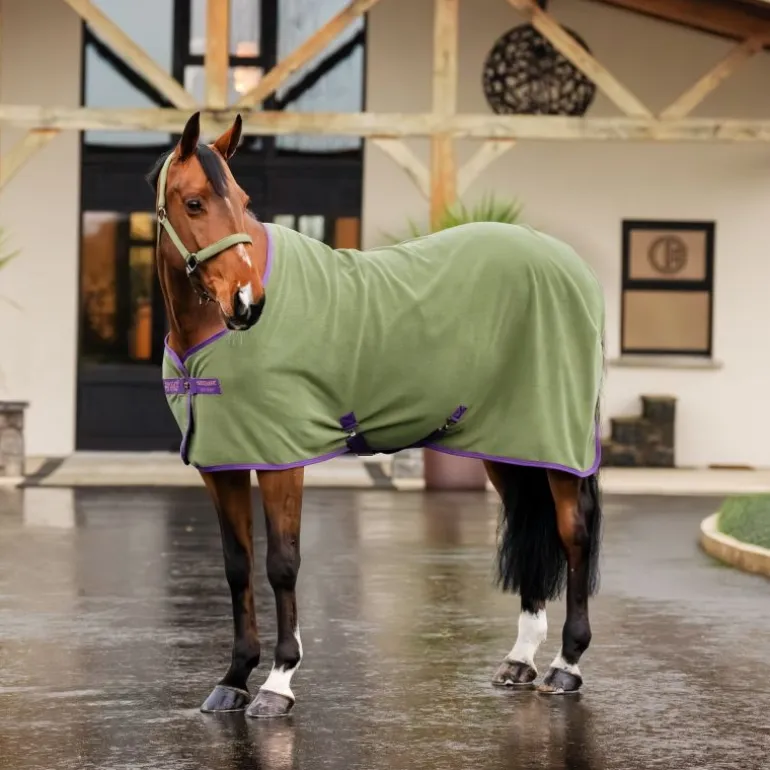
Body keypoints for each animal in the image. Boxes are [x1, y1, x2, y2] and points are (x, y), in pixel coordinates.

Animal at [147, 111, 605, 719]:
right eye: (195, 203)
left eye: (243, 201)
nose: (248, 303)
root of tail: (575, 269)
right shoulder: (221, 465)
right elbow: (236, 565)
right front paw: (233, 678)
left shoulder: (281, 461)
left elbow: (282, 564)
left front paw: (277, 683)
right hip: (511, 443)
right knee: (532, 524)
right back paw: (520, 661)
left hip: (557, 443)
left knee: (573, 532)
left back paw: (566, 665)